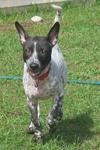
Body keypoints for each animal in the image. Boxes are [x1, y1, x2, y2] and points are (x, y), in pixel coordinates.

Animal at [14, 4, 66, 143]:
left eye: (43, 51)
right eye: (27, 50)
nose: (33, 66)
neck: (39, 79)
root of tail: (56, 44)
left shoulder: (58, 93)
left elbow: (52, 114)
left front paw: (52, 123)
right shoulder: (31, 99)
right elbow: (35, 118)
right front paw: (38, 134)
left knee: (59, 106)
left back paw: (58, 116)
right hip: (31, 98)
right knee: (36, 113)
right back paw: (32, 126)